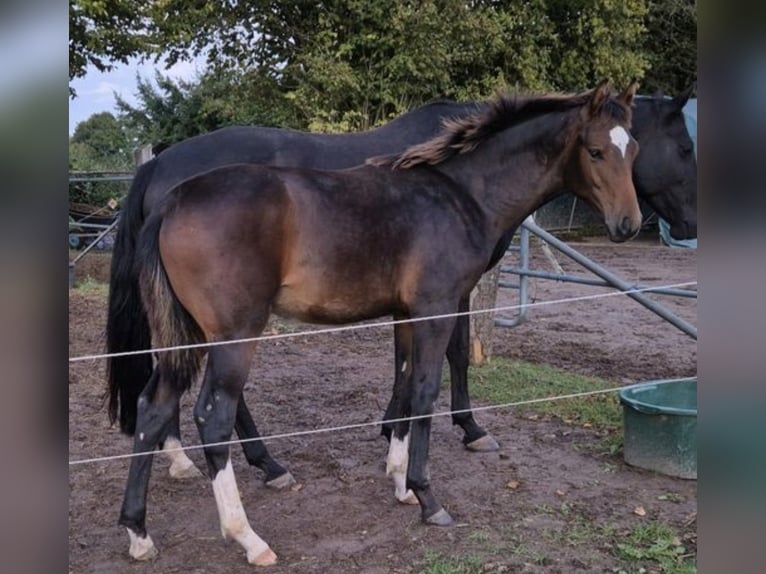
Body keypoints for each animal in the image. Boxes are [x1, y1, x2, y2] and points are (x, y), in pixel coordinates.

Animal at [123, 83, 640, 568]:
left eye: (632, 148)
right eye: (595, 150)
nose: (629, 224)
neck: (460, 194)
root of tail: (173, 199)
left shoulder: (409, 314)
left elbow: (406, 387)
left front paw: (400, 482)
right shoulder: (437, 308)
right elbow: (427, 390)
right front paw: (428, 495)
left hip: (186, 336)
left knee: (152, 406)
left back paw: (139, 532)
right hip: (233, 337)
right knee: (213, 417)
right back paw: (249, 535)